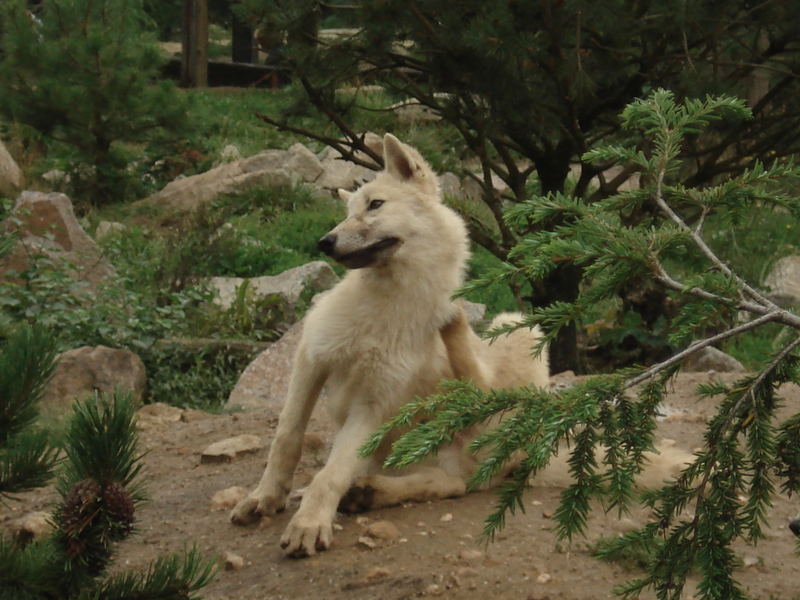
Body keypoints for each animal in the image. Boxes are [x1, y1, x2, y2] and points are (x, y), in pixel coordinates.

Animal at [231, 134, 552, 556]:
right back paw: (367, 493)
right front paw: (265, 498)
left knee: (465, 459)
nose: (324, 242)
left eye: (375, 205)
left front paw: (309, 523)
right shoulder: (311, 361)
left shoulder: (374, 402)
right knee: (451, 481)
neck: (383, 308)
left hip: (517, 331)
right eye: (348, 211)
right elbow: (287, 438)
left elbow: (331, 473)